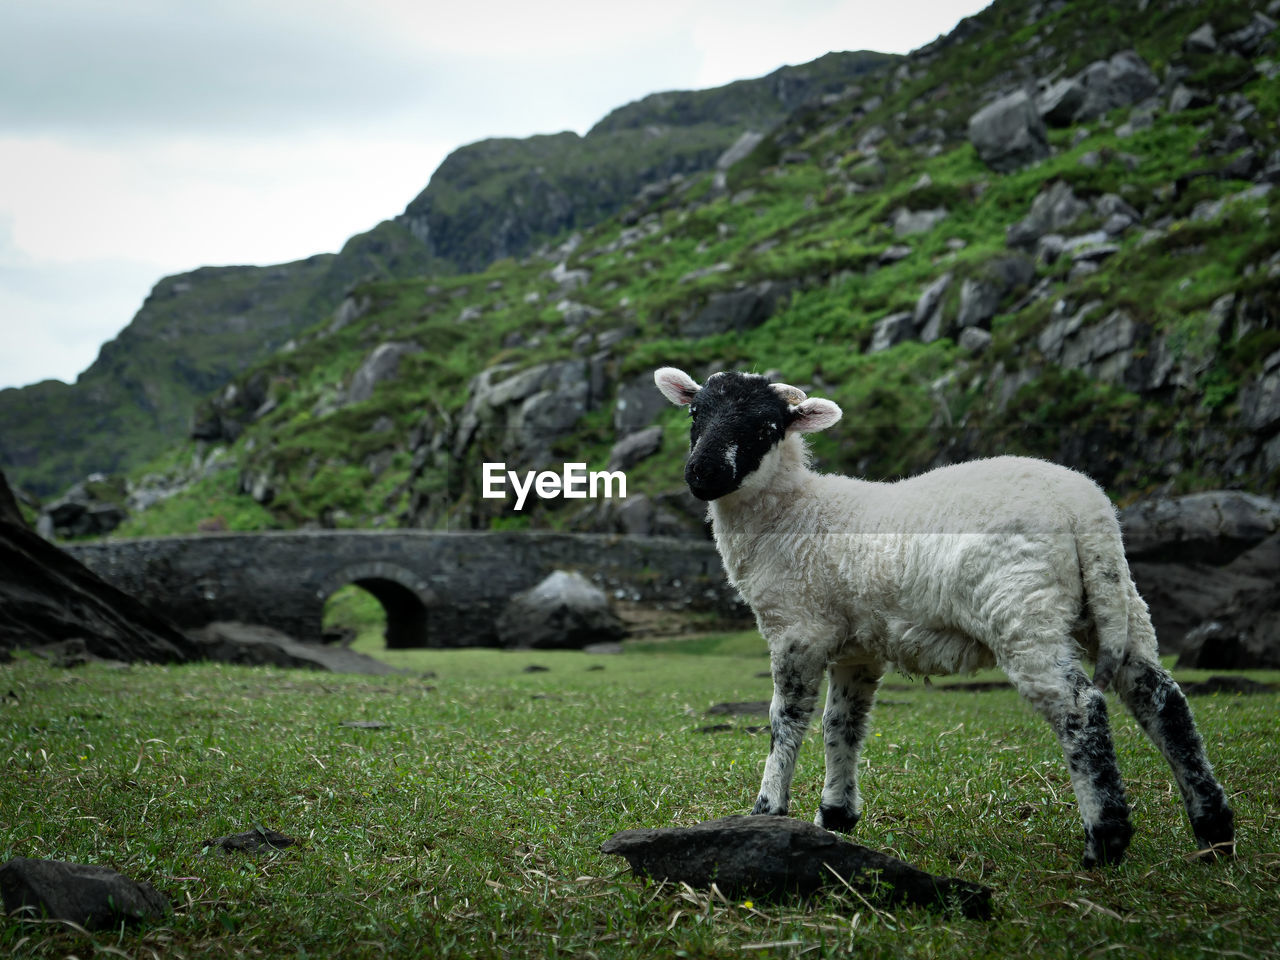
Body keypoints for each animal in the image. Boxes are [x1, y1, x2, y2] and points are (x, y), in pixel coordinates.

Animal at [655, 363, 1233, 870]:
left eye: (766, 427)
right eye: (696, 414)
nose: (703, 473)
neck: (793, 512)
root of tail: (1085, 509)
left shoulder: (798, 630)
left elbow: (786, 721)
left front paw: (768, 809)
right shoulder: (857, 647)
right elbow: (842, 724)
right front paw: (836, 817)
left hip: (1023, 608)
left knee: (1081, 708)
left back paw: (1105, 843)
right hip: (1116, 602)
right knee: (1161, 700)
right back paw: (1213, 832)